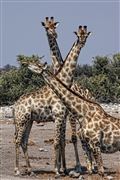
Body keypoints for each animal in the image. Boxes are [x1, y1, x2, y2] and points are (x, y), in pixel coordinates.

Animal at [13, 23, 90, 176]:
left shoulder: (62, 116)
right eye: (78, 35)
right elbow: (56, 141)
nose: (83, 42)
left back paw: (30, 170)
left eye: (86, 35)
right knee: (17, 141)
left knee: (24, 141)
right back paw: (18, 170)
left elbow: (61, 141)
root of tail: (15, 105)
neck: (65, 81)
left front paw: (62, 169)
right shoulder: (59, 116)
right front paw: (57, 170)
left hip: (29, 121)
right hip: (21, 120)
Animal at [41, 16, 95, 172]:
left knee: (82, 136)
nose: (54, 34)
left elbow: (72, 138)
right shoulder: (64, 115)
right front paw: (63, 167)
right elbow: (62, 139)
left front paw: (75, 167)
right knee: (82, 136)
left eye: (55, 26)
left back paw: (91, 165)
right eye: (46, 27)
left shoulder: (68, 114)